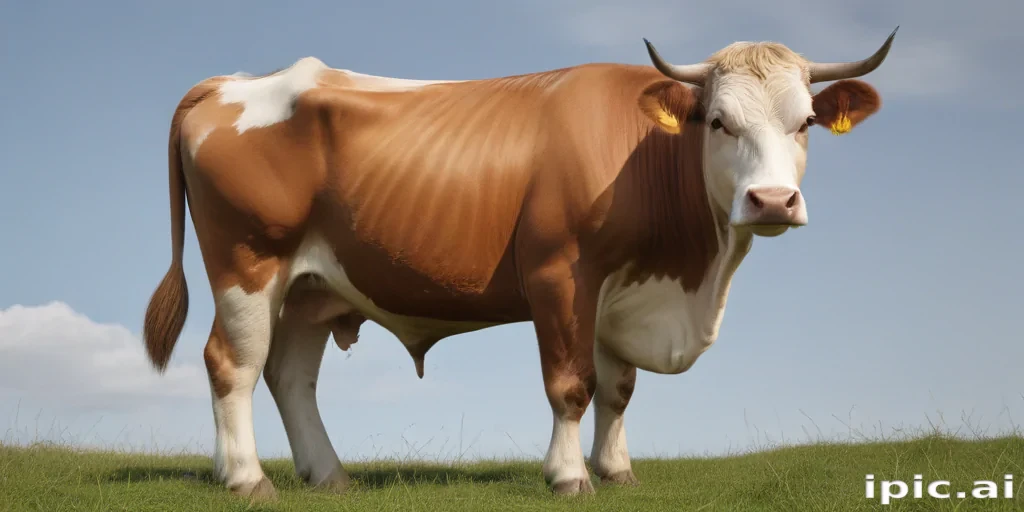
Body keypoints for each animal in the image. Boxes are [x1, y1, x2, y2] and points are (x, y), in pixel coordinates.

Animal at [142, 28, 897, 500]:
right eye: (719, 121)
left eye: (805, 122)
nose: (771, 200)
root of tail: (232, 83)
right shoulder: (560, 274)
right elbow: (571, 384)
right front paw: (568, 477)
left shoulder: (619, 291)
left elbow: (617, 389)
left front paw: (617, 471)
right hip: (249, 261)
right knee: (231, 363)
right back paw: (247, 479)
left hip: (308, 287)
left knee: (290, 375)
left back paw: (328, 475)